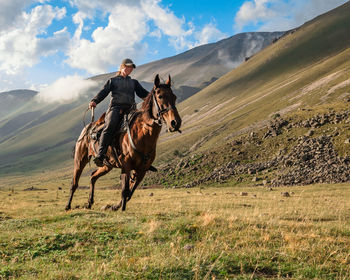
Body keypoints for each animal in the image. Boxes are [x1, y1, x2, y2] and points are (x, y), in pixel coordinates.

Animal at [64, 74, 182, 210]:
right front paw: (121, 208)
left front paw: (115, 206)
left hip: (107, 165)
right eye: (160, 96)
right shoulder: (126, 166)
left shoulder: (142, 170)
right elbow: (125, 190)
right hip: (80, 160)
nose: (175, 122)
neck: (142, 134)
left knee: (93, 176)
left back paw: (89, 203)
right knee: (74, 182)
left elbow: (130, 191)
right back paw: (68, 206)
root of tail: (88, 127)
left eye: (174, 97)